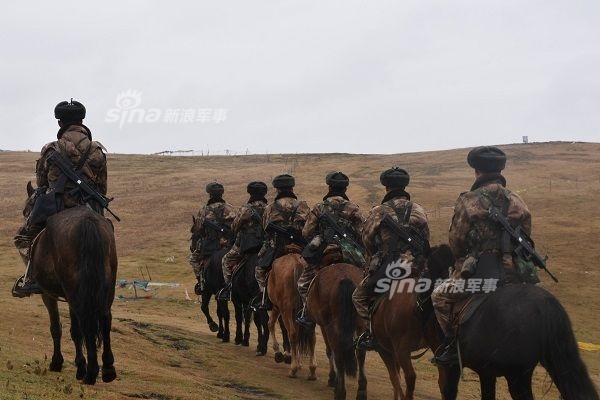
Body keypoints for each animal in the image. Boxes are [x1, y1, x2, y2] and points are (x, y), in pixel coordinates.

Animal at [24, 186, 118, 386]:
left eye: (28, 206)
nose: (27, 225)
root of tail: (88, 222)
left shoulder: (49, 294)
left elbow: (57, 328)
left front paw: (59, 363)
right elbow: (76, 331)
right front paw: (79, 365)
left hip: (74, 292)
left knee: (87, 323)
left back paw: (91, 372)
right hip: (106, 288)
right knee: (105, 320)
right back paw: (107, 369)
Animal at [308, 262, 368, 400]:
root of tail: (345, 277)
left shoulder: (324, 326)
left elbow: (330, 351)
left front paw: (332, 379)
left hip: (331, 325)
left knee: (338, 354)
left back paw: (340, 392)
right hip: (360, 323)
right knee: (360, 353)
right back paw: (361, 391)